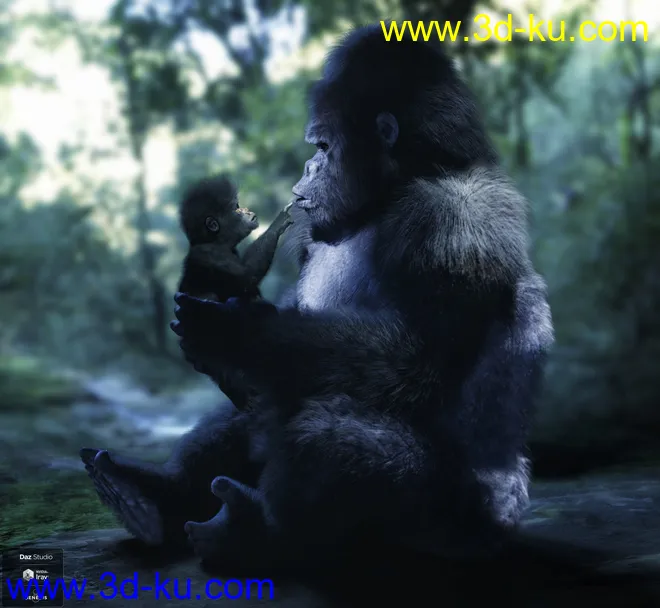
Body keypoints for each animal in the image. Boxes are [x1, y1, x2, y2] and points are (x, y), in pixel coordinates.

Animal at [81, 23, 553, 571]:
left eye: (324, 146)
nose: (307, 166)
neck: (400, 184)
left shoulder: (453, 225)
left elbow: (415, 358)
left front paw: (238, 332)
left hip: (453, 528)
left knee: (321, 440)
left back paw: (256, 532)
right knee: (259, 403)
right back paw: (147, 493)